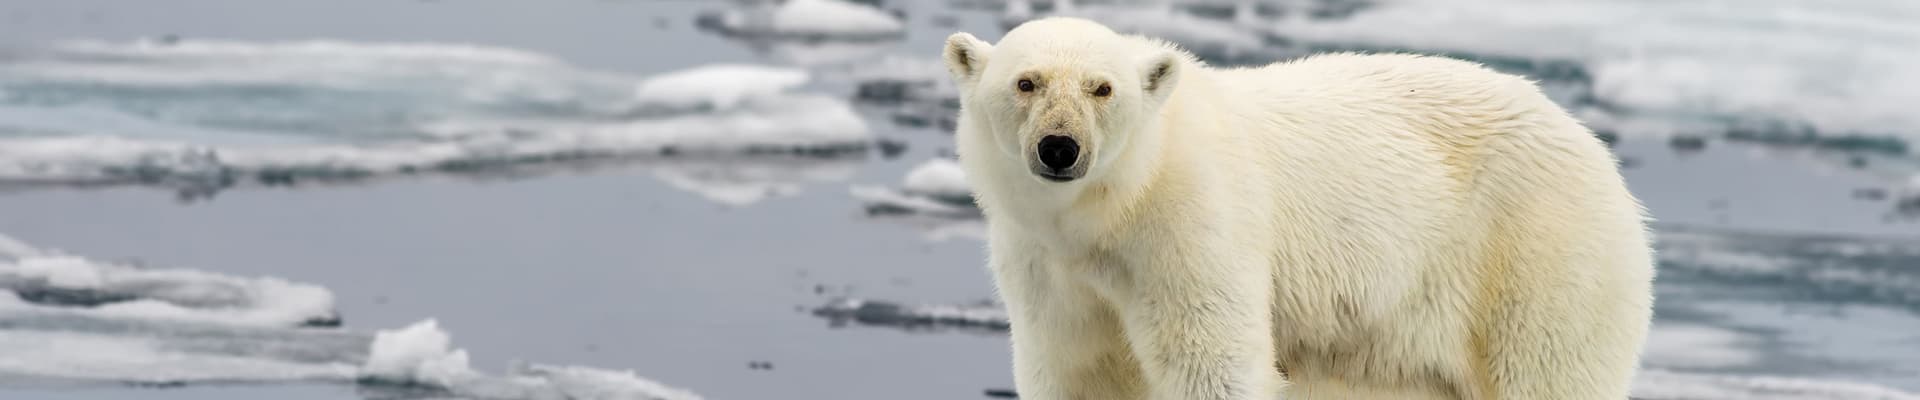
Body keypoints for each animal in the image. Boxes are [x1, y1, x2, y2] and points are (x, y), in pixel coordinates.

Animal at [941, 17, 1655, 400]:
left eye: (1102, 88)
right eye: (1026, 82)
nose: (1060, 147)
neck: (1113, 210)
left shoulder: (1193, 229)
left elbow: (1213, 361)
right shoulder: (1044, 264)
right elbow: (1076, 367)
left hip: (1537, 256)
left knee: (1550, 371)